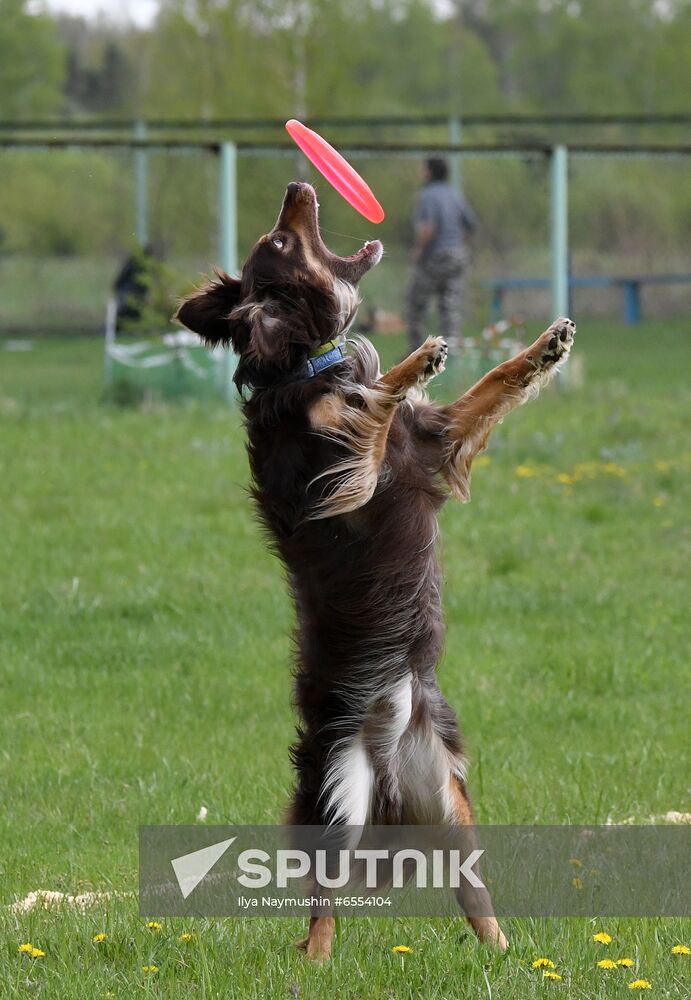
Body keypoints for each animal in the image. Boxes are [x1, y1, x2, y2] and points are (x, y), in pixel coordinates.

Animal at [176, 182, 576, 960]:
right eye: (277, 241)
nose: (299, 186)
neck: (306, 363)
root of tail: (387, 750)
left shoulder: (433, 440)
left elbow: (486, 382)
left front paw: (545, 346)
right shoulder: (342, 475)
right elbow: (374, 397)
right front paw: (416, 357)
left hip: (450, 797)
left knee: (470, 890)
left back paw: (503, 952)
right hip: (337, 794)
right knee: (321, 905)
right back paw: (317, 963)